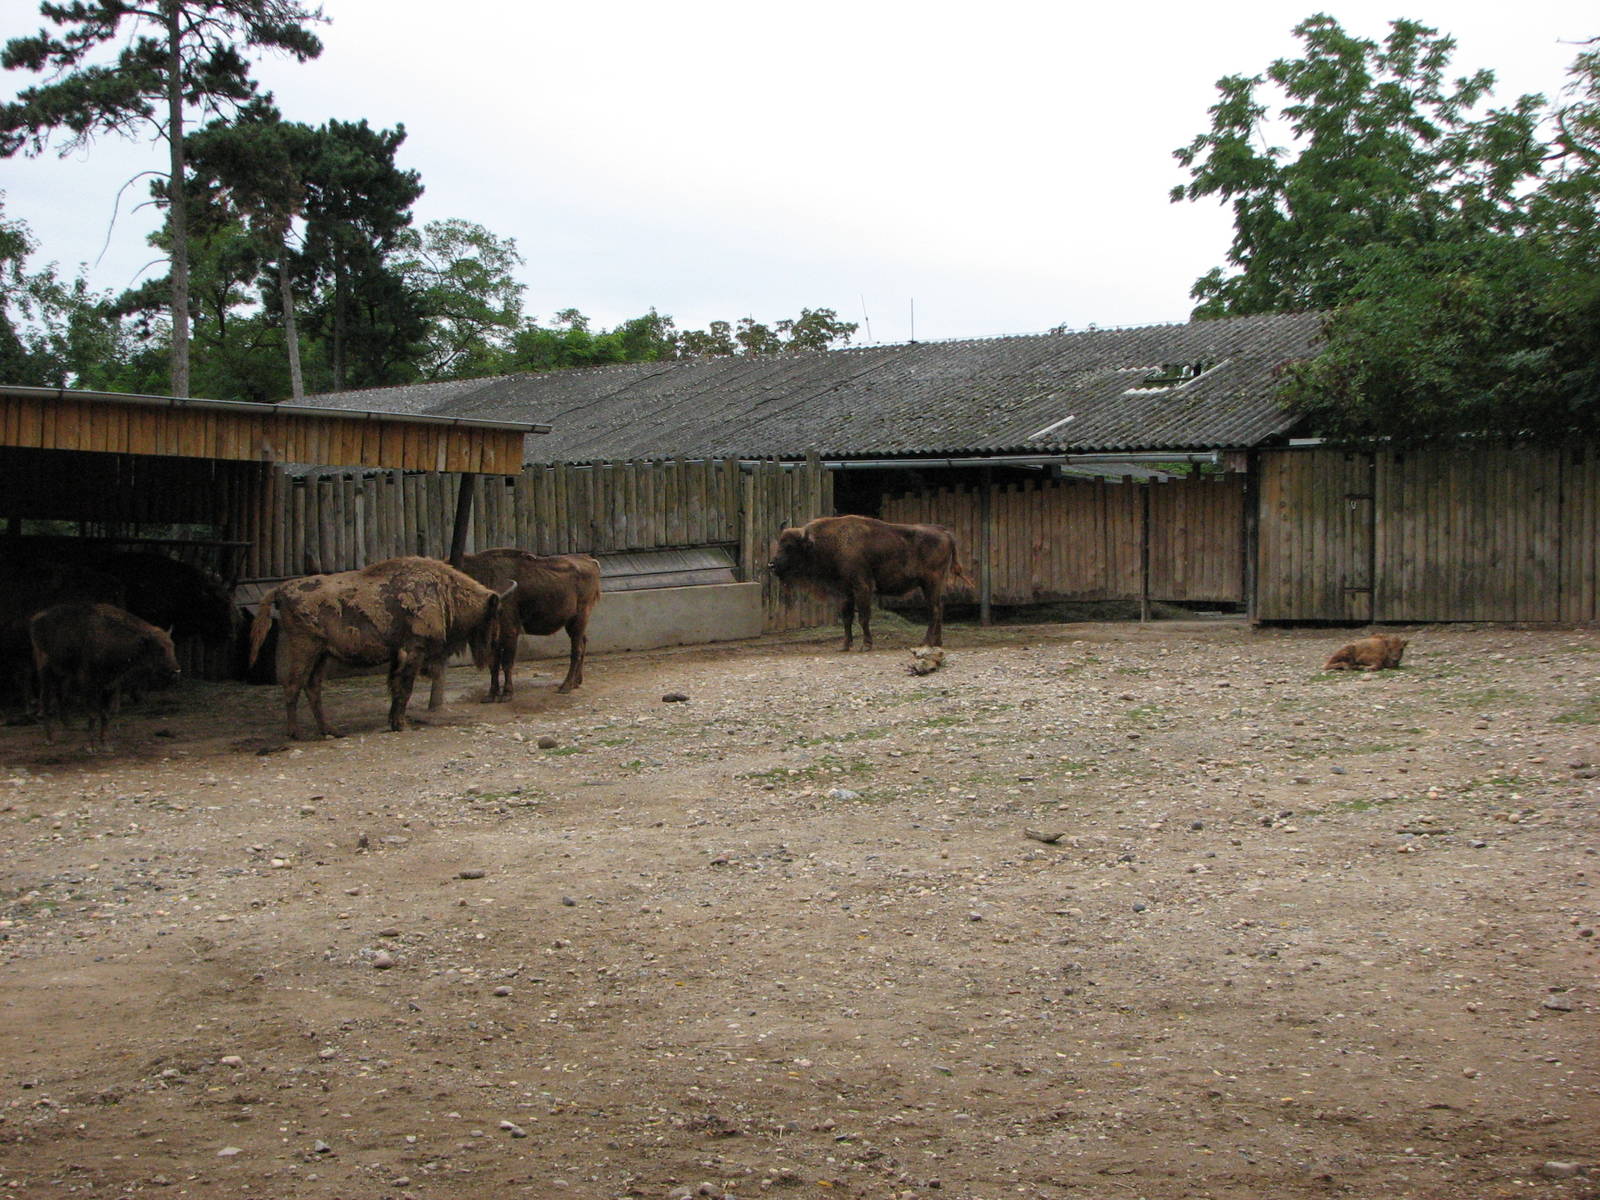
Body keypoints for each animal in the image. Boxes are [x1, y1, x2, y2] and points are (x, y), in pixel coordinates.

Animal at [30, 602, 180, 750]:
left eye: (172, 645)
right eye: (160, 648)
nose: (176, 671)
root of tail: (36, 618)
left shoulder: (111, 683)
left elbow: (106, 714)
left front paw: (105, 744)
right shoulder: (89, 683)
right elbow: (92, 714)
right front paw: (91, 746)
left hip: (62, 674)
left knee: (59, 695)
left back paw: (67, 727)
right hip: (45, 670)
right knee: (45, 700)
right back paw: (49, 739)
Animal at [248, 556, 514, 739]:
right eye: (493, 613)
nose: (493, 646)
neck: (444, 591)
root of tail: (280, 589)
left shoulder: (398, 654)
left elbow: (395, 687)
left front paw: (394, 722)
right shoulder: (414, 650)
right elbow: (405, 687)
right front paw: (401, 724)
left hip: (321, 654)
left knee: (312, 687)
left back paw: (330, 730)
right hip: (306, 648)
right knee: (293, 685)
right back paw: (296, 733)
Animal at [451, 549, 602, 701]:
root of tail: (590, 560)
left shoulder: (509, 632)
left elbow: (506, 663)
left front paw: (507, 694)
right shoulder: (495, 639)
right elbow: (493, 665)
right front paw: (491, 695)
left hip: (579, 618)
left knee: (576, 650)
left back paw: (565, 686)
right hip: (571, 623)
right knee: (583, 643)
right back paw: (576, 682)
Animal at [769, 515, 969, 651]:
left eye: (790, 546)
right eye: (780, 543)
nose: (772, 564)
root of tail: (944, 531)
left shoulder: (862, 587)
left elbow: (863, 617)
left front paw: (866, 645)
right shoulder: (846, 592)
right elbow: (847, 618)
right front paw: (845, 645)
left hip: (930, 582)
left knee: (933, 610)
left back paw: (925, 642)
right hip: (934, 585)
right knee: (939, 608)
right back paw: (937, 643)